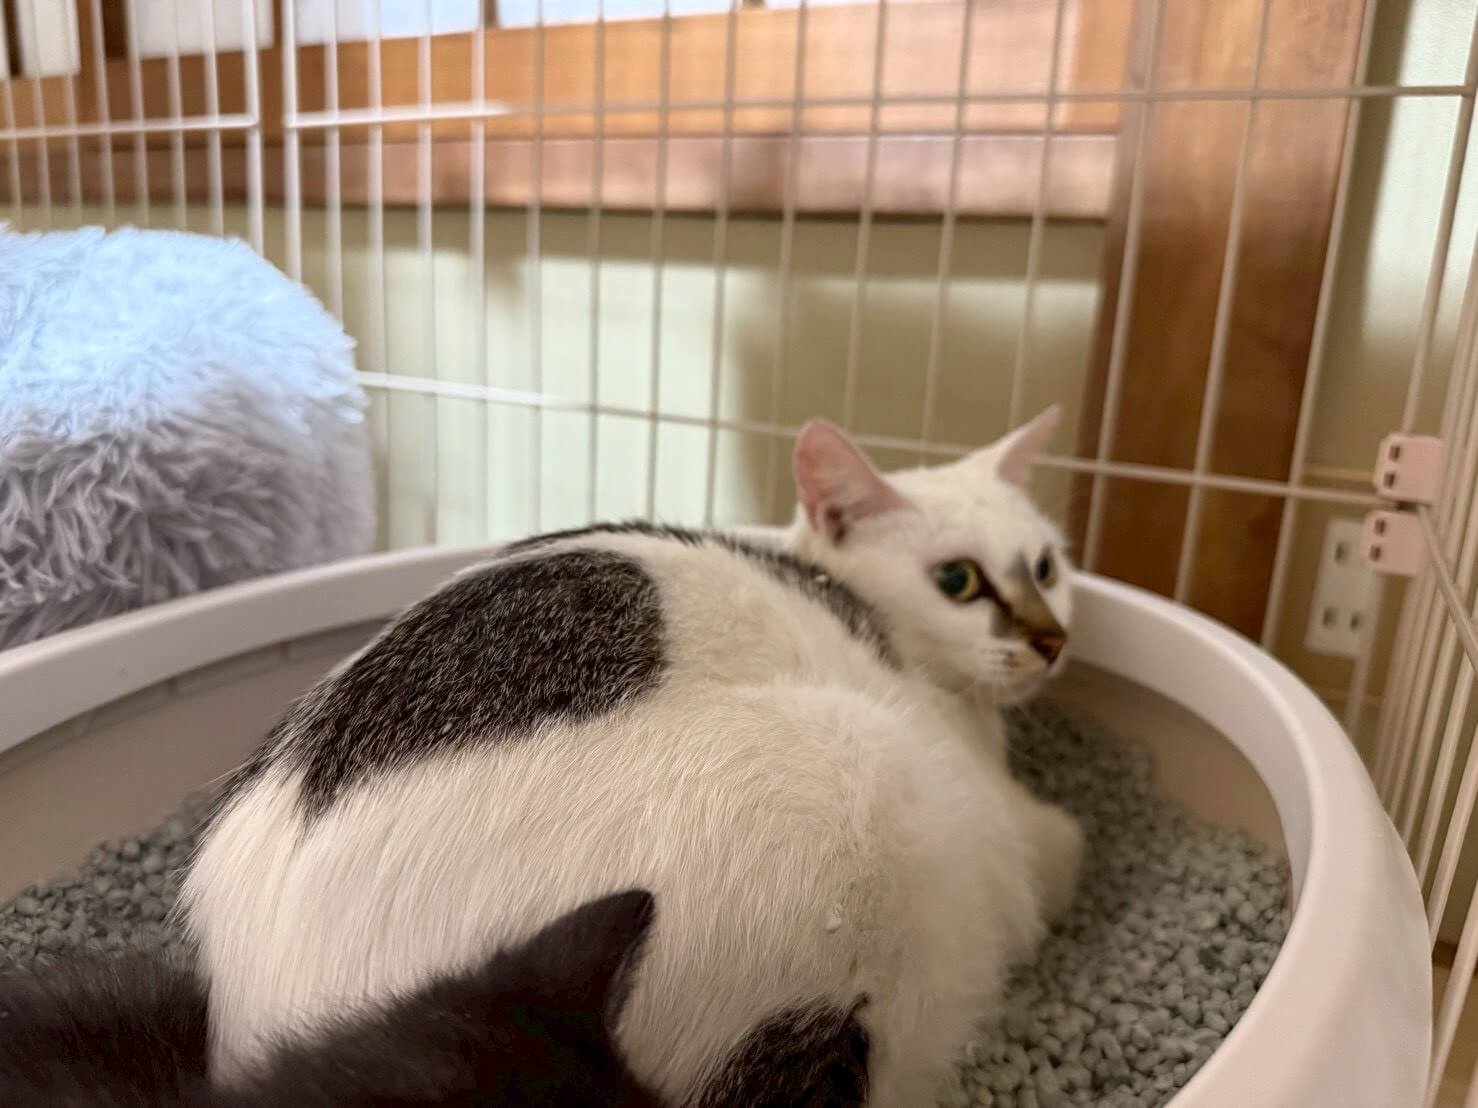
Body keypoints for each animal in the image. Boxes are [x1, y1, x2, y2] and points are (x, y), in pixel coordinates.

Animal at [182, 409, 1083, 1107]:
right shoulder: (1012, 839)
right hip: (862, 773)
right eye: (959, 580)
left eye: (1046, 565)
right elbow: (1058, 852)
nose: (1051, 638)